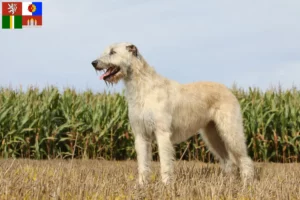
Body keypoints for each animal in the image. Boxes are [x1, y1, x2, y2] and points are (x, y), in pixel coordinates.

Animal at [91, 42, 253, 186]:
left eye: (112, 52)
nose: (93, 62)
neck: (142, 86)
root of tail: (229, 90)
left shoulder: (162, 133)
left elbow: (165, 161)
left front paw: (166, 184)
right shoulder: (141, 134)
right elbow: (143, 163)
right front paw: (141, 185)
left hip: (230, 131)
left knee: (244, 159)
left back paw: (247, 184)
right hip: (212, 134)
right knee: (228, 161)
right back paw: (228, 184)